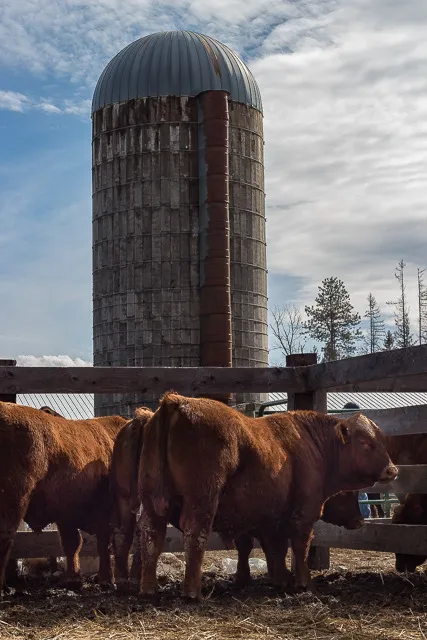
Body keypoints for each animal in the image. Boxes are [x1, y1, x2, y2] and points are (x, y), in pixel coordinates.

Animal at [137, 393, 397, 600]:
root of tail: (177, 401)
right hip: (202, 501)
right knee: (195, 534)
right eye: (365, 442)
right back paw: (192, 592)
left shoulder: (263, 520)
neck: (312, 445)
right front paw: (303, 583)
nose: (392, 469)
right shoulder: (303, 514)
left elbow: (268, 549)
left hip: (152, 502)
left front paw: (273, 578)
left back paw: (149, 588)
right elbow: (299, 546)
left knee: (152, 535)